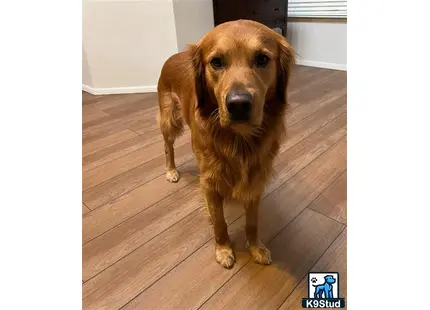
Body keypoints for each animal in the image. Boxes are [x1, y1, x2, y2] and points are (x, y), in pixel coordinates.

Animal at [158, 19, 296, 268]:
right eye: (216, 62)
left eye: (262, 59)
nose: (238, 104)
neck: (238, 140)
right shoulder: (209, 183)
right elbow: (219, 221)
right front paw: (223, 249)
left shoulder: (256, 179)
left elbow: (252, 221)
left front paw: (255, 248)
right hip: (169, 120)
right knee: (168, 147)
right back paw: (171, 170)